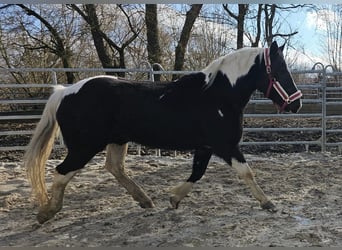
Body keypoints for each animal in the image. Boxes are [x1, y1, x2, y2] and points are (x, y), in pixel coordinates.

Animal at [24, 40, 302, 223]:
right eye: (280, 71)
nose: (297, 104)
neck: (217, 96)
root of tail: (63, 92)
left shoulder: (206, 147)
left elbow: (197, 173)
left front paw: (174, 198)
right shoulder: (225, 146)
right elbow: (246, 172)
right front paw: (268, 203)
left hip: (116, 141)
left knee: (114, 168)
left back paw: (145, 201)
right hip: (85, 146)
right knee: (62, 172)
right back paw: (47, 212)